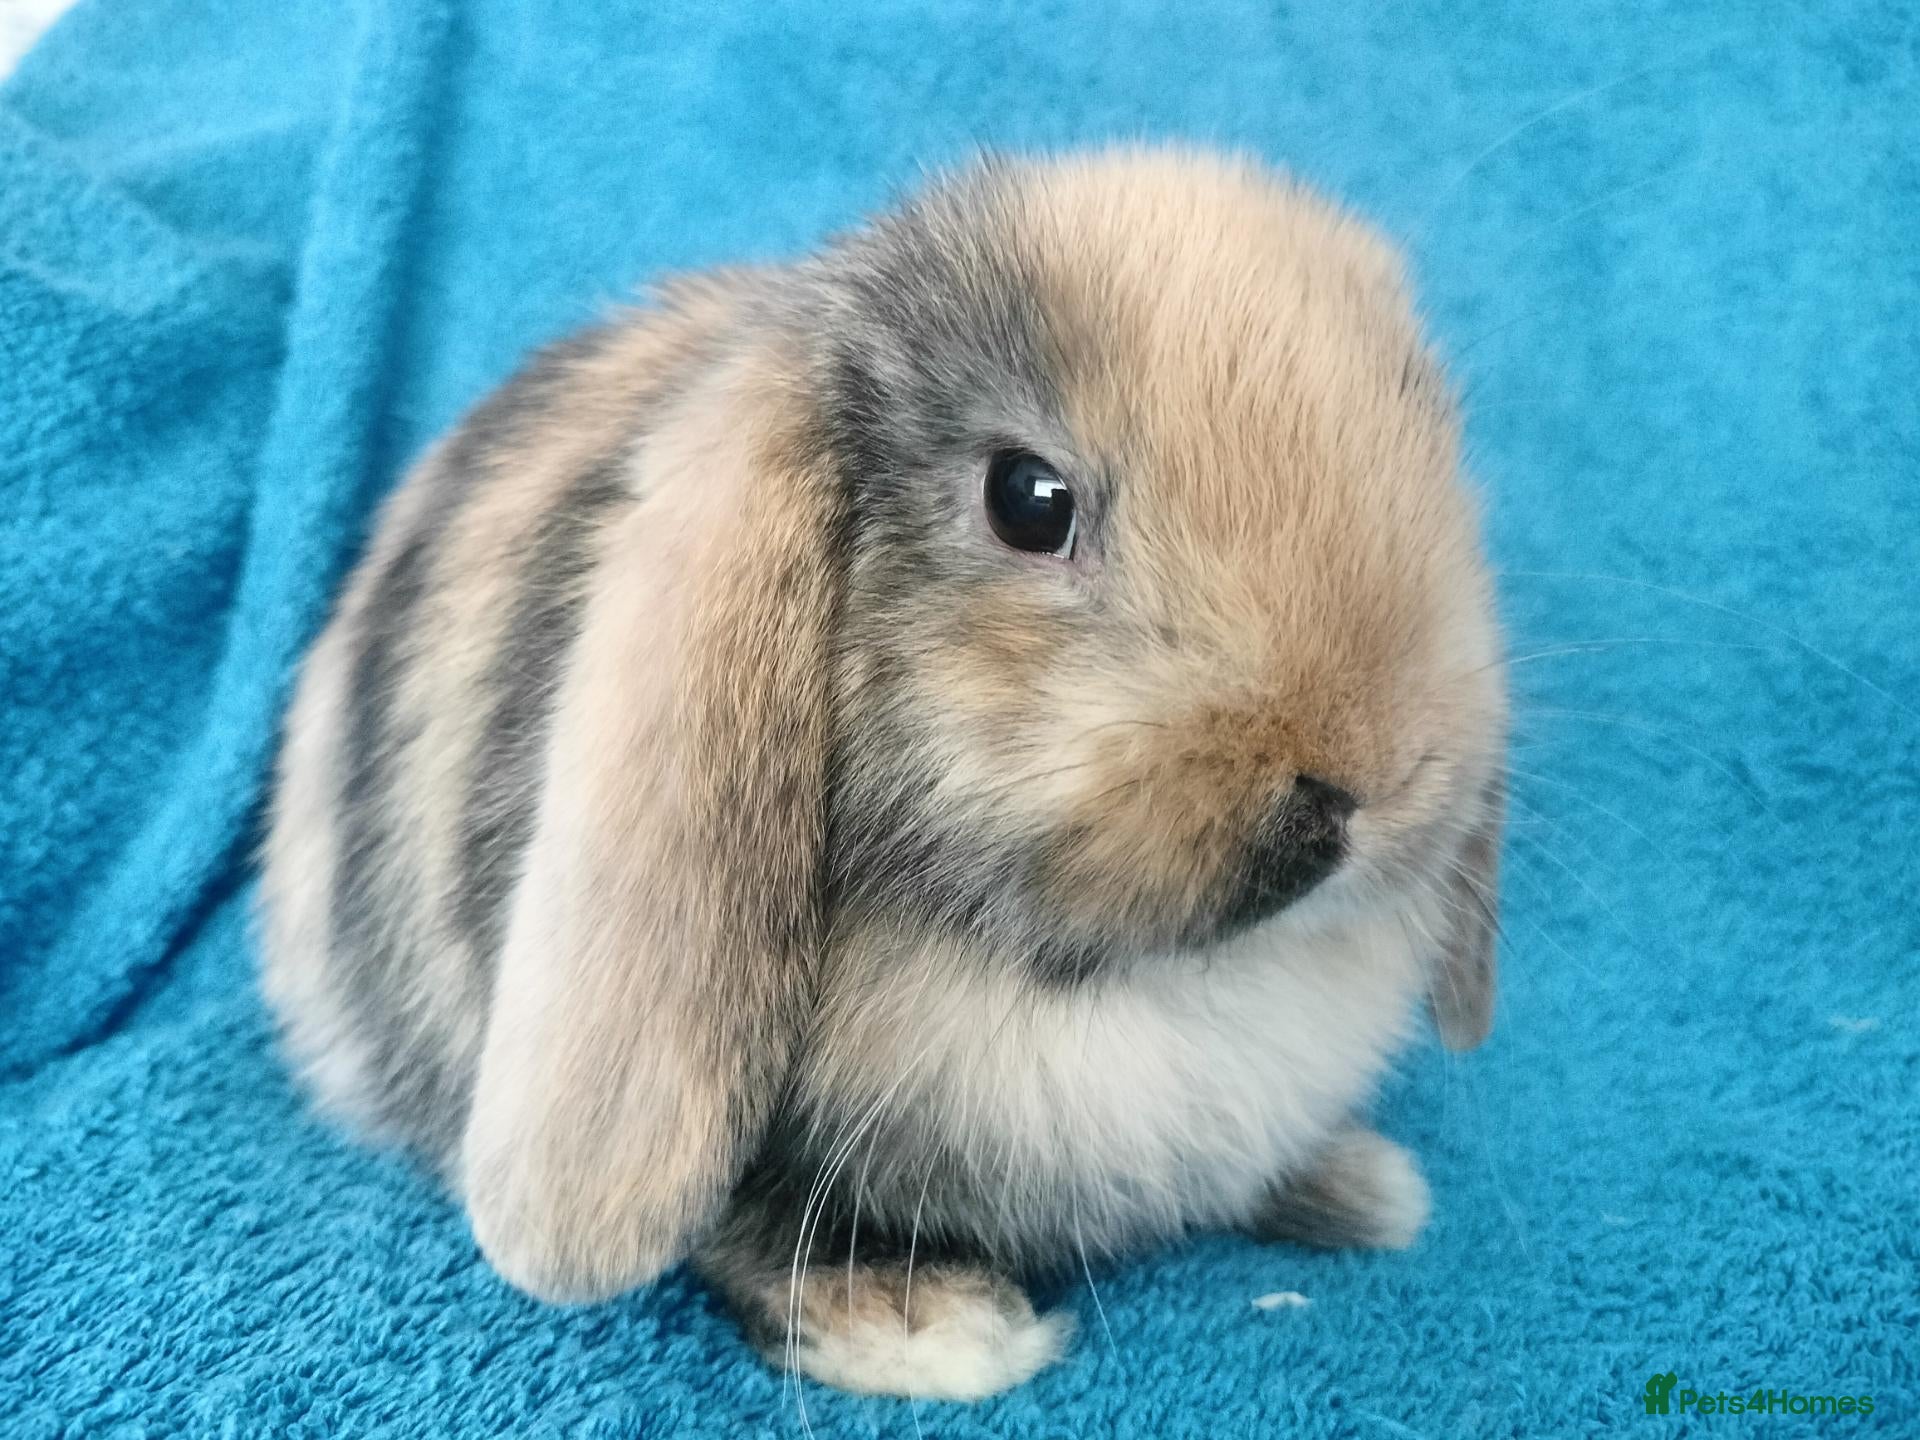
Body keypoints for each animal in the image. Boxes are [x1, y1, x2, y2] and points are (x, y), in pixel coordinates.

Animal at [258, 144, 1507, 1401]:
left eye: (1416, 415)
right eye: (1028, 499)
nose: (1359, 784)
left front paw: (1360, 1188)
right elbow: (745, 1226)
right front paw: (930, 1329)